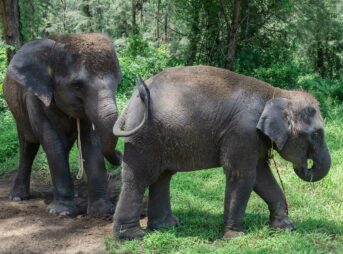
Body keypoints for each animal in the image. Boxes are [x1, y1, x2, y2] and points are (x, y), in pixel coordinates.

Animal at [3, 33, 122, 216]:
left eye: (118, 82)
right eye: (77, 85)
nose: (120, 153)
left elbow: (90, 142)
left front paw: (103, 211)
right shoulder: (35, 99)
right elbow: (51, 141)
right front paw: (61, 212)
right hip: (17, 111)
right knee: (28, 146)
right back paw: (17, 197)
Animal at [111, 66, 332, 240]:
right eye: (316, 134)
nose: (305, 165)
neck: (275, 93)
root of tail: (133, 100)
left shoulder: (252, 138)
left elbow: (261, 176)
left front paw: (286, 228)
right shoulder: (243, 133)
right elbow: (242, 175)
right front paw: (235, 236)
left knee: (162, 177)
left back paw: (167, 226)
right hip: (142, 136)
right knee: (139, 179)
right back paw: (133, 236)